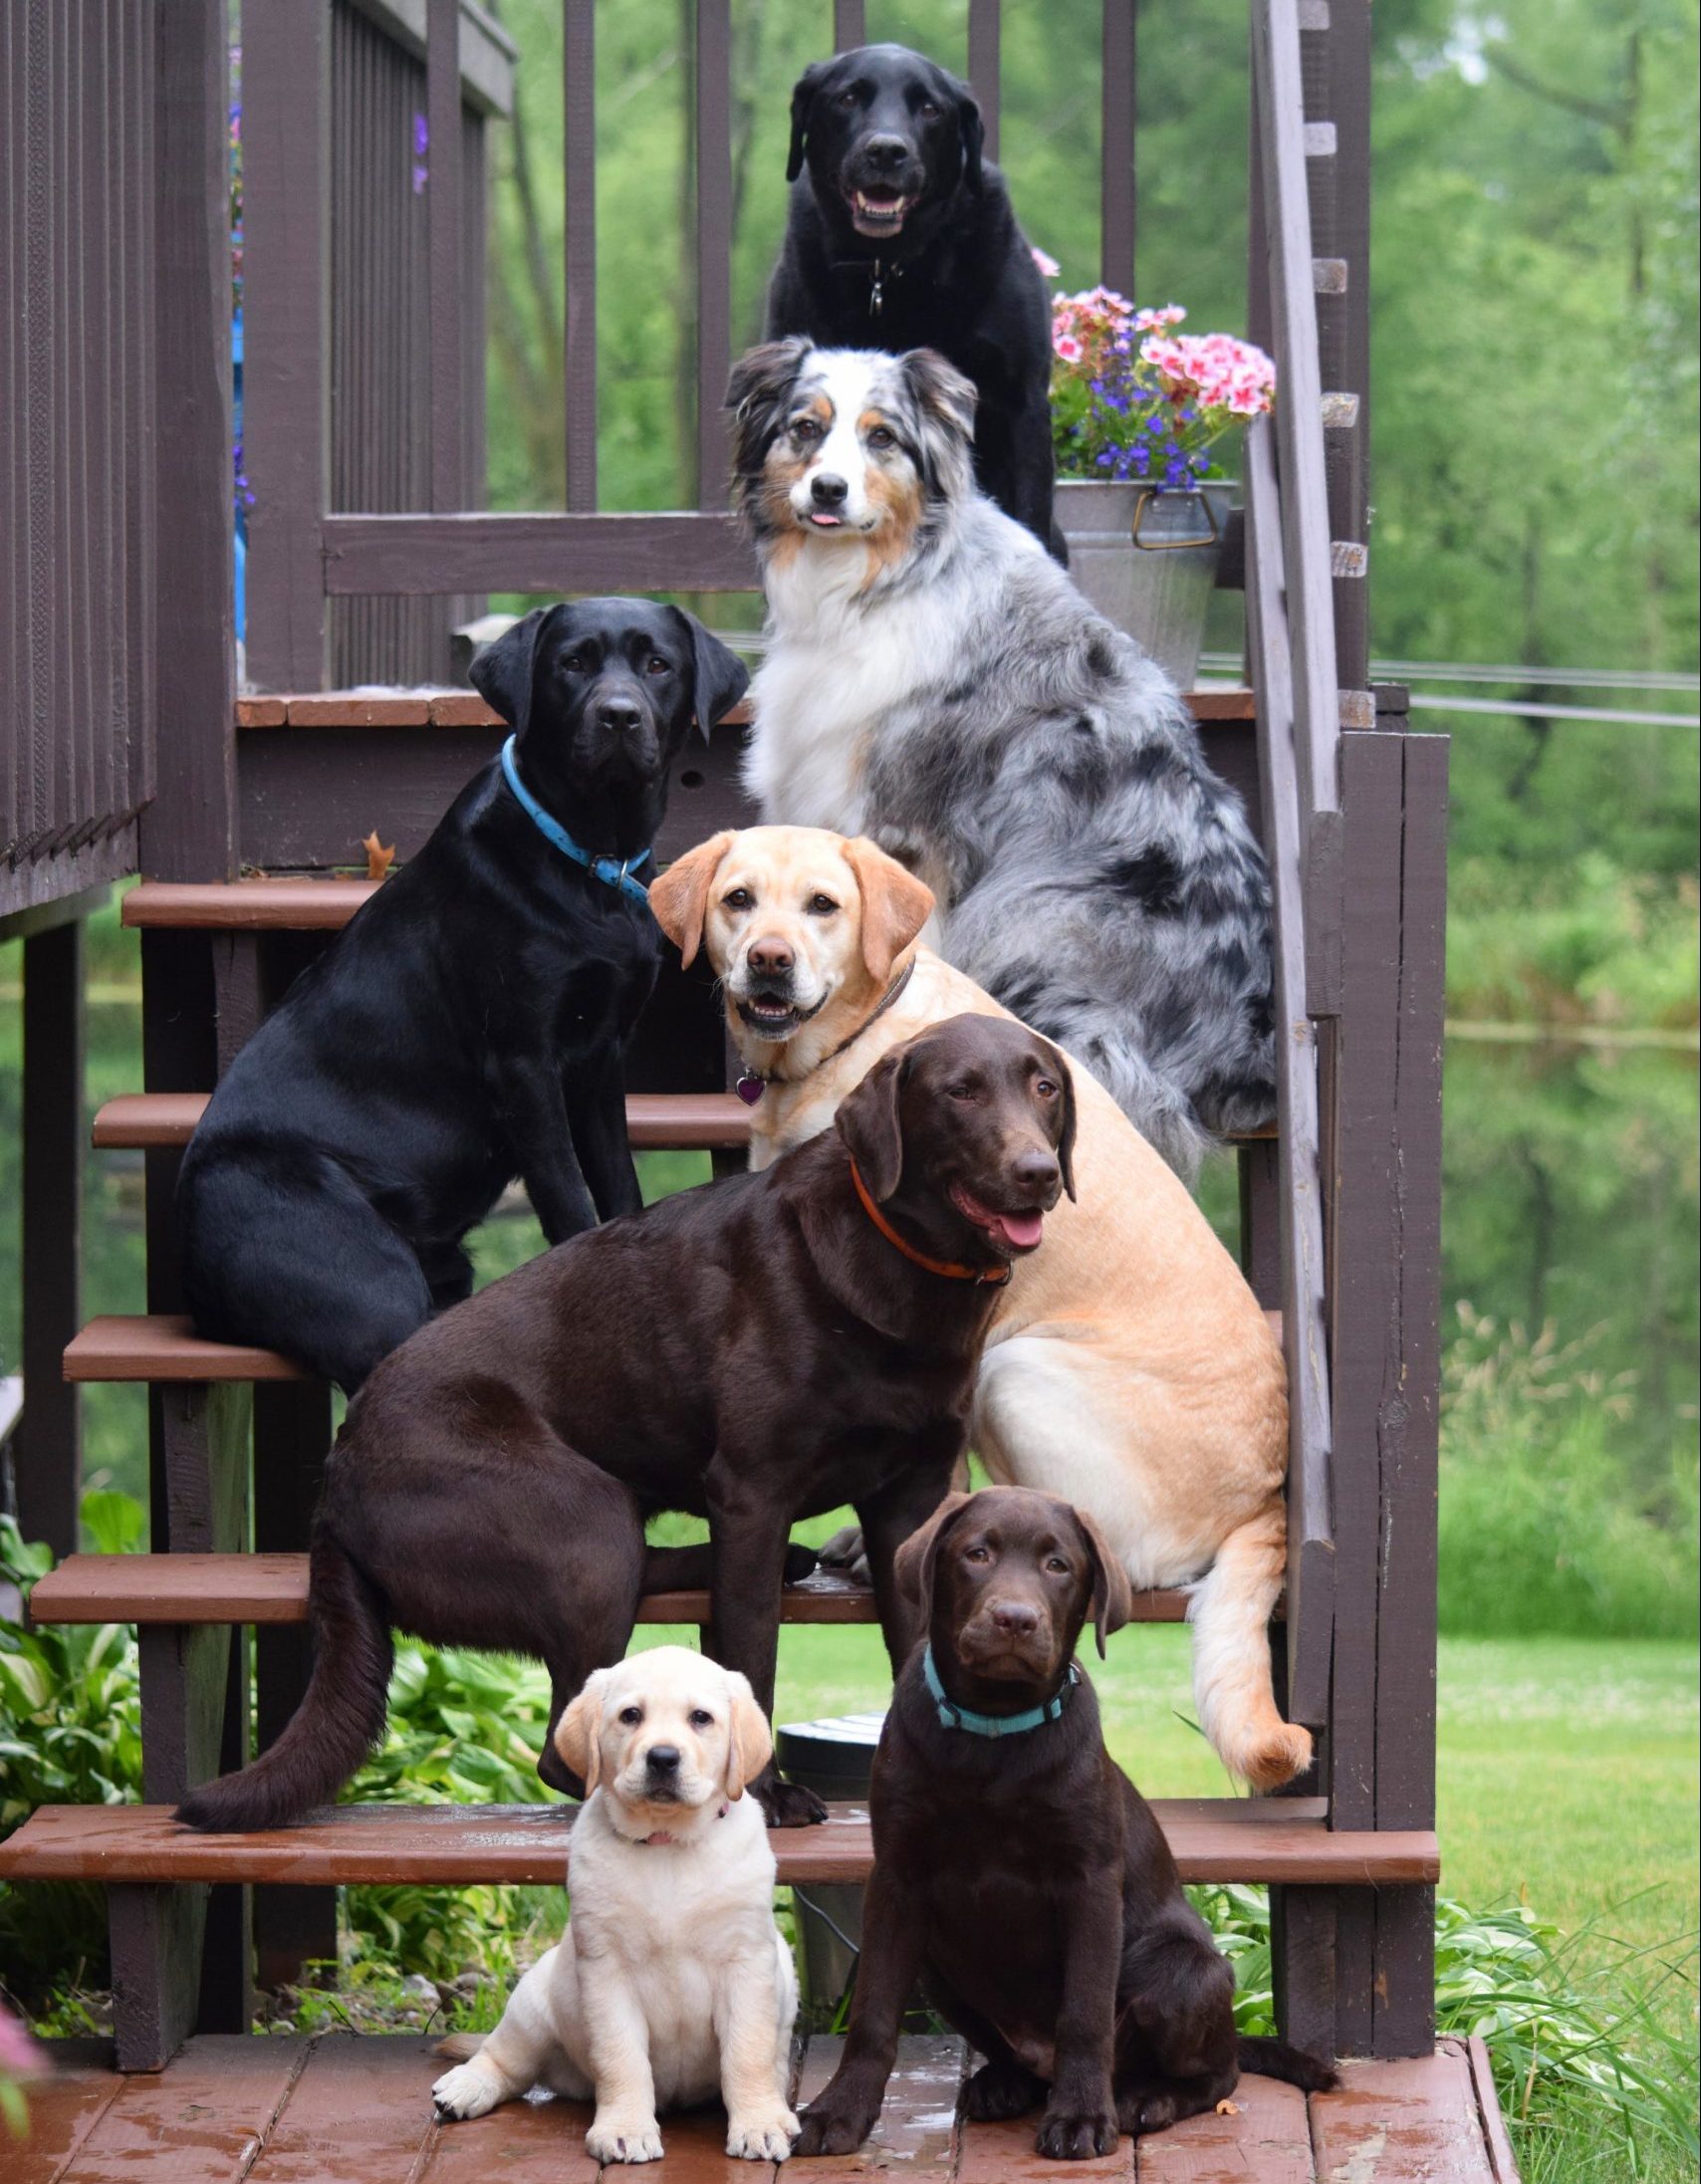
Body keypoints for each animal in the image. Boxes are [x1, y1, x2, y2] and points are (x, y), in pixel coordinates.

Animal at [179, 598, 751, 1388]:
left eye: (658, 664)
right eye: (573, 662)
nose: (618, 716)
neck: (589, 858)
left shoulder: (601, 1062)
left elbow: (619, 1187)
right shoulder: (524, 1064)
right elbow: (570, 1199)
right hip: (367, 1279)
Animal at [432, 1642, 790, 2157]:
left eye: (701, 1718)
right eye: (631, 1715)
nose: (663, 1758)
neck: (667, 1843)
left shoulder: (747, 1965)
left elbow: (748, 2053)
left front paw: (760, 2122)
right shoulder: (607, 1971)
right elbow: (621, 2057)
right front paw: (625, 2129)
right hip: (532, 2005)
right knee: (504, 2060)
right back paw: (465, 2087)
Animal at [650, 830, 1301, 1791]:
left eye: (822, 905)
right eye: (738, 899)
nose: (770, 961)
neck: (853, 1039)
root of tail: (1265, 1499)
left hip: (1016, 1366)